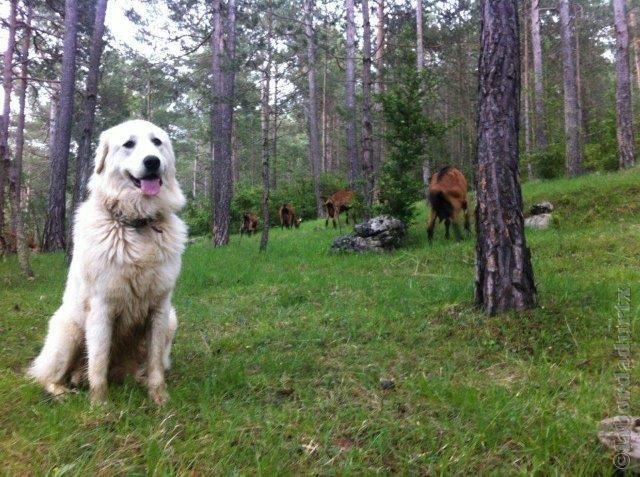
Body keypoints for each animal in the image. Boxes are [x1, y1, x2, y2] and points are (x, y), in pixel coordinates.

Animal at [28, 120, 186, 406]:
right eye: (129, 144)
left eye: (157, 142)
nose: (152, 161)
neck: (136, 226)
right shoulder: (102, 308)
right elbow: (99, 363)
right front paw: (100, 405)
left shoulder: (160, 308)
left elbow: (156, 364)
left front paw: (160, 399)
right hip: (69, 332)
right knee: (46, 377)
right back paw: (63, 391)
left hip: (171, 319)